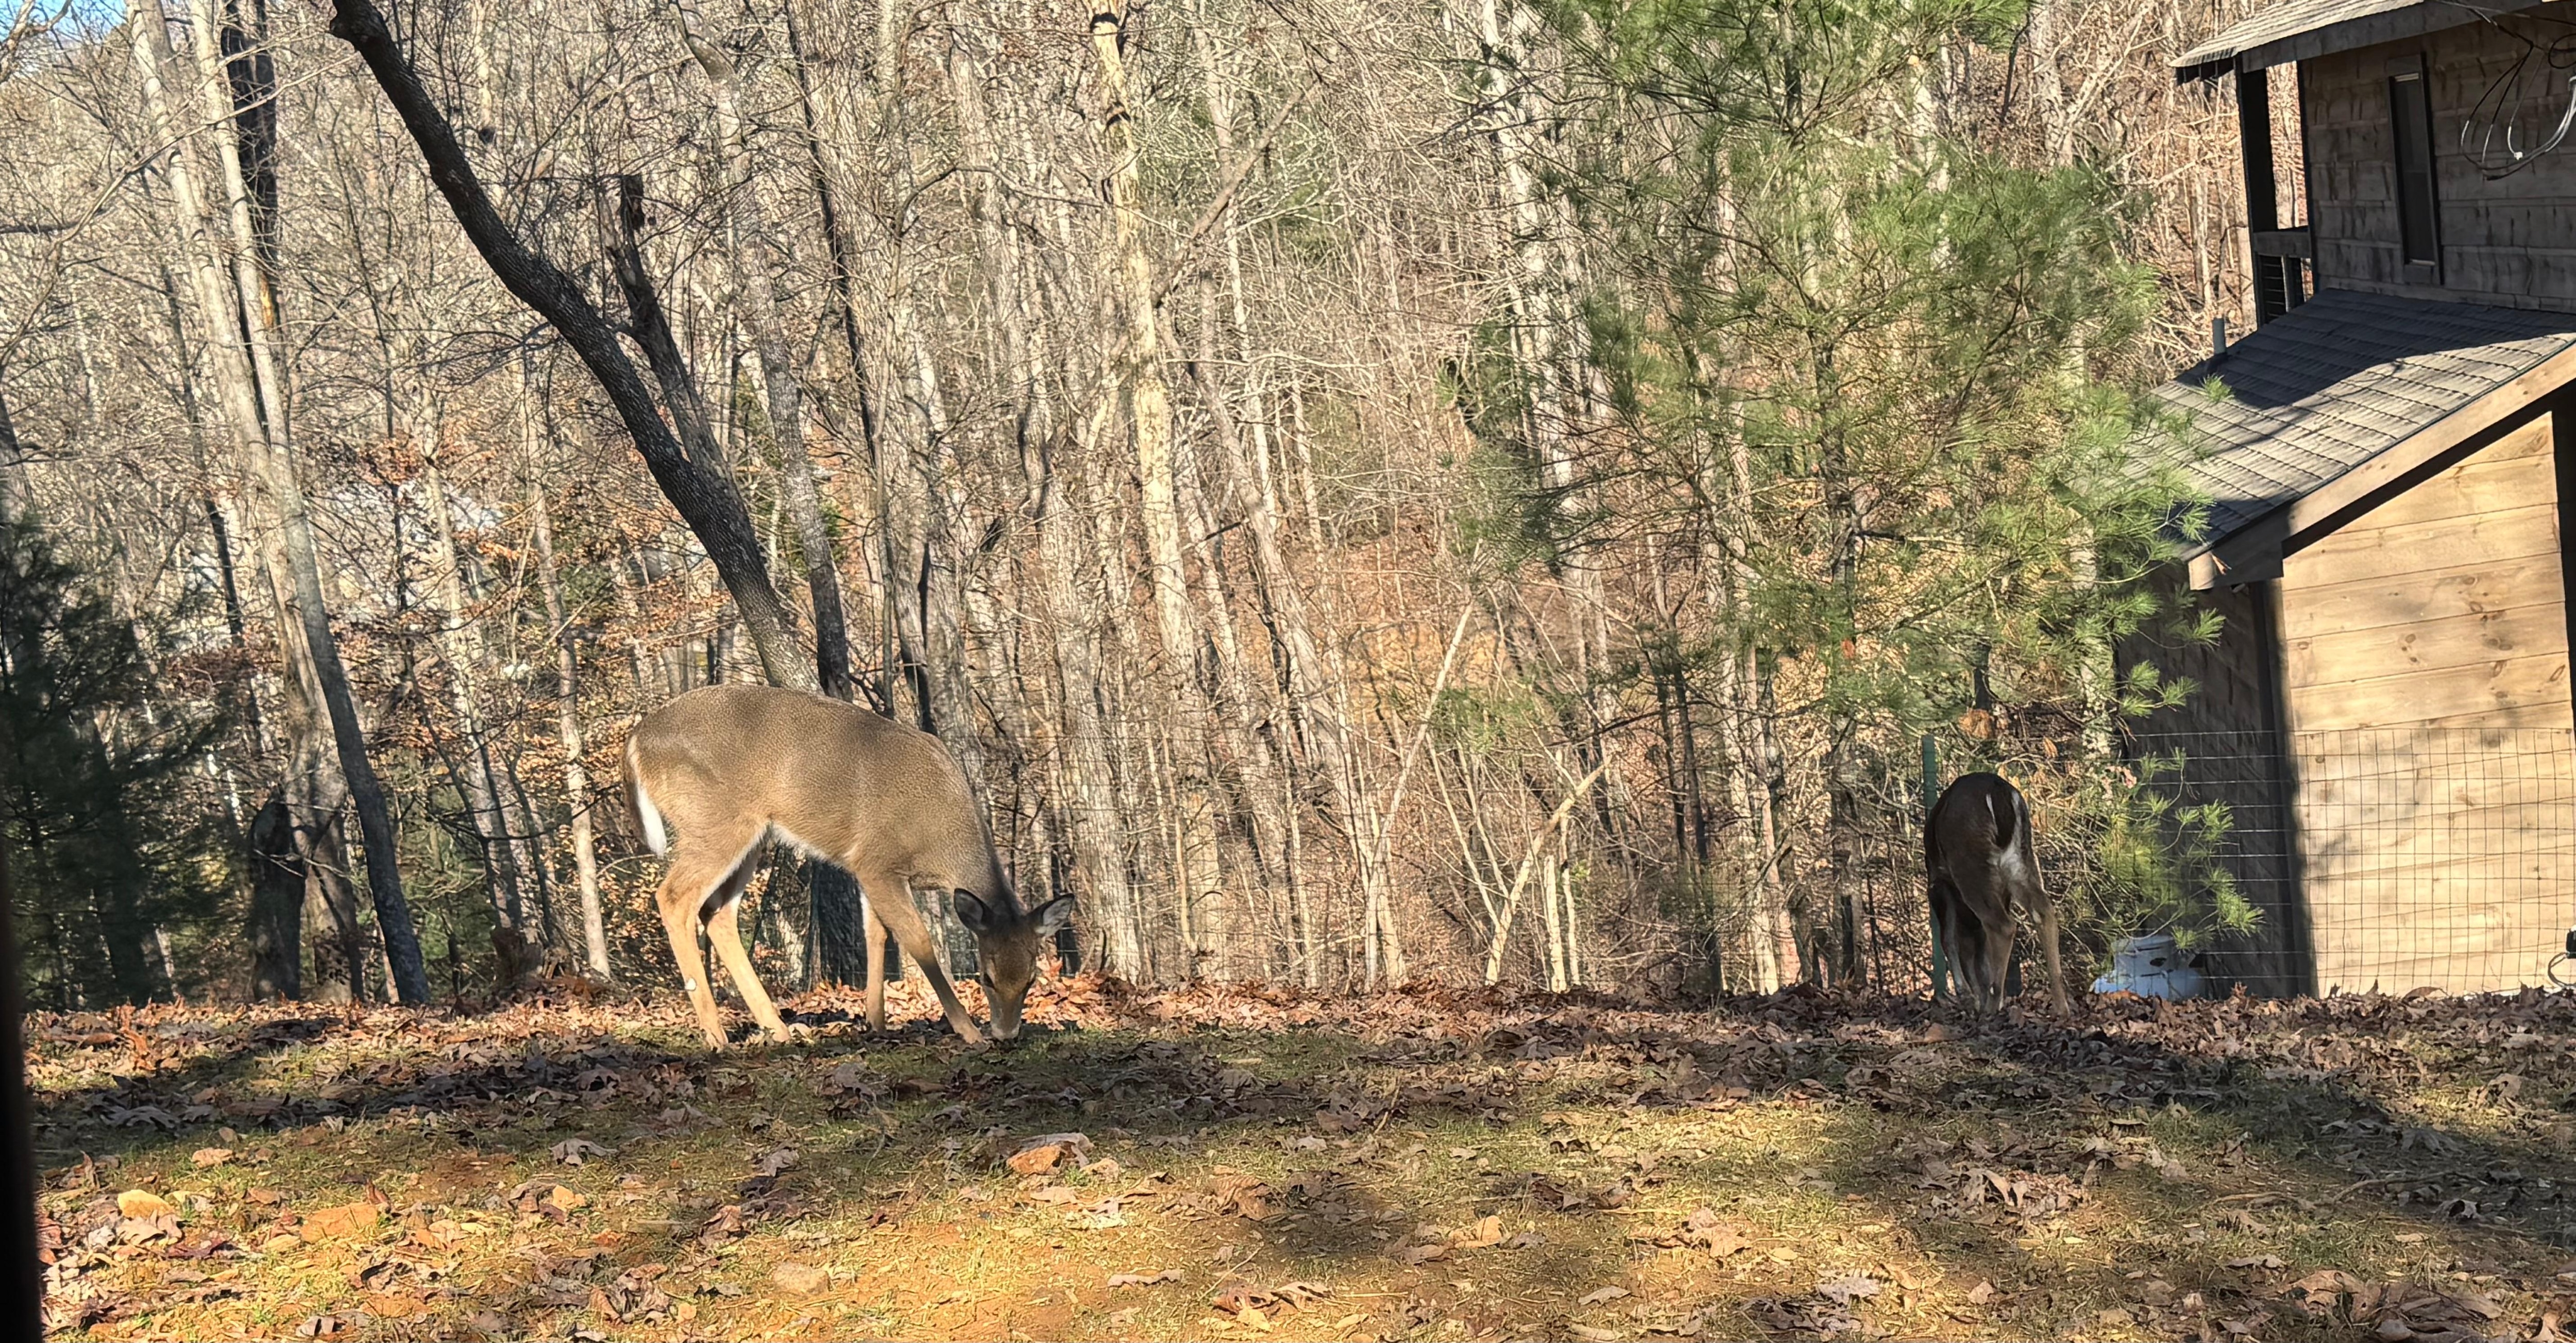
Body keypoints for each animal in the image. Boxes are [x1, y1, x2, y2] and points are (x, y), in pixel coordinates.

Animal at [622, 683, 1073, 1049]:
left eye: (1031, 979)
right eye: (986, 977)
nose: (1007, 1034)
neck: (938, 836)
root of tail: (638, 740)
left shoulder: (869, 870)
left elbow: (877, 935)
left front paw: (877, 1022)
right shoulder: (878, 861)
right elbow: (917, 941)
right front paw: (968, 1030)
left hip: (750, 835)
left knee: (717, 913)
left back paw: (779, 1030)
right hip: (714, 822)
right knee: (674, 897)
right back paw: (717, 1036)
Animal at [1925, 771, 2069, 1015]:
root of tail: (1999, 792)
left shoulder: (1937, 883)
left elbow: (1949, 940)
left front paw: (1967, 995)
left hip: (1971, 865)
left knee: (2002, 925)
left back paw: (1993, 1005)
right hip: (2021, 859)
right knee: (2044, 911)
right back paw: (2061, 1006)